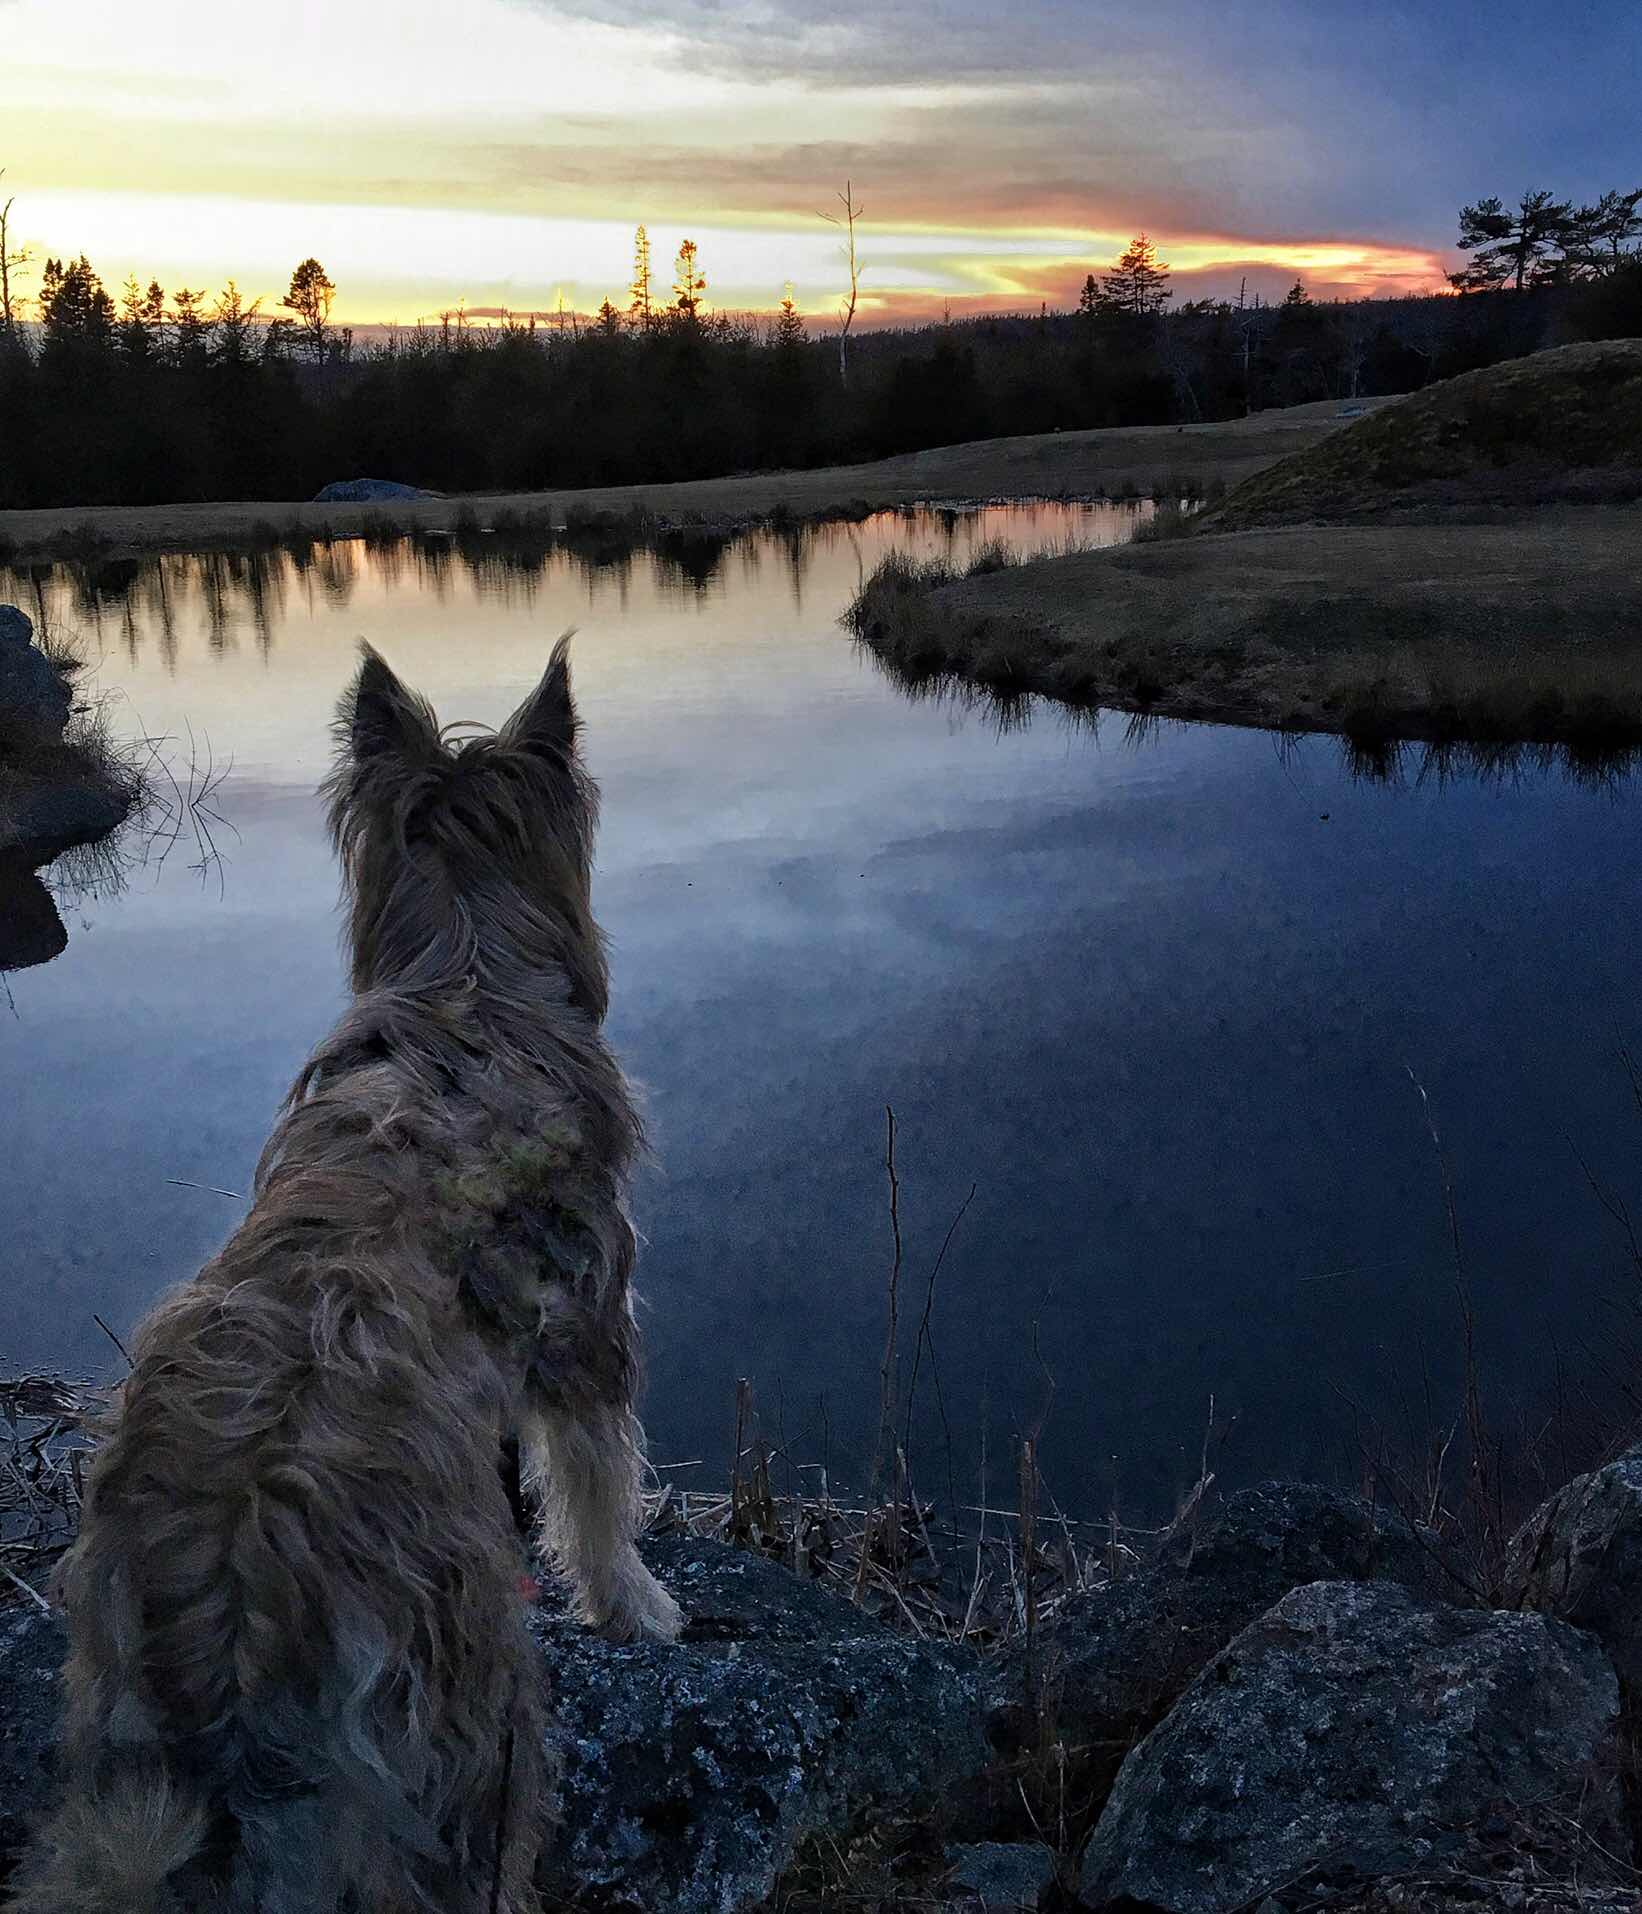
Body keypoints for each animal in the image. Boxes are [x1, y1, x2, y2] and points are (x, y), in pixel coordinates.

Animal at [8, 639, 682, 1914]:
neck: (472, 981)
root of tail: (226, 1612)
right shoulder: (590, 1324)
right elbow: (599, 1488)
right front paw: (637, 1606)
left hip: (114, 1752)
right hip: (468, 1721)